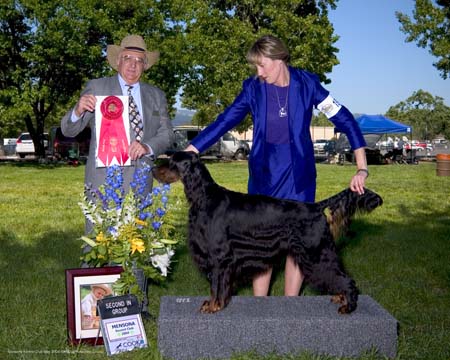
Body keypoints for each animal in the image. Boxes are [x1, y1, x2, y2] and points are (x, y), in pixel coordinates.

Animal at [153, 152, 382, 316]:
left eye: (172, 162)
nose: (153, 168)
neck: (204, 197)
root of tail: (316, 207)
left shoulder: (219, 258)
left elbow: (217, 286)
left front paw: (214, 306)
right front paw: (212, 304)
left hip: (316, 254)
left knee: (346, 279)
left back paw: (348, 305)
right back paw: (341, 297)